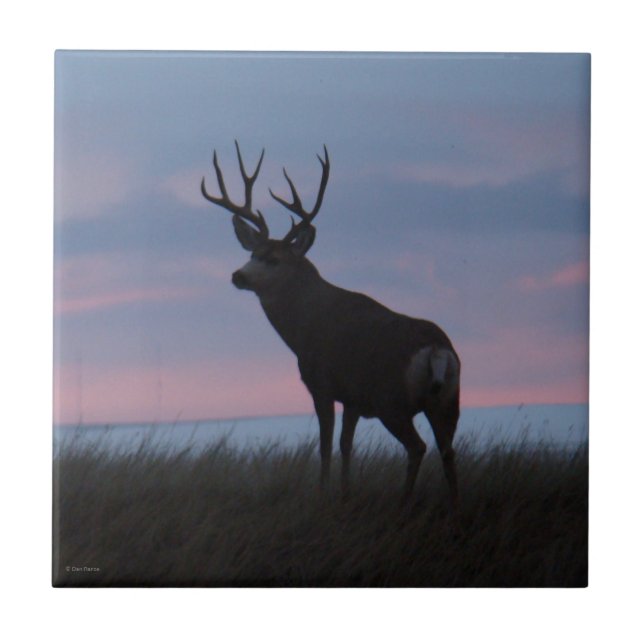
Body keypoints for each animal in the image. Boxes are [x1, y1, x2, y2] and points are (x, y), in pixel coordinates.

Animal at [201, 142, 461, 510]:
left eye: (274, 259)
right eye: (253, 254)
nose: (238, 275)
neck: (305, 327)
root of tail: (437, 350)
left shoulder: (321, 384)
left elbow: (325, 446)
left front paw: (323, 494)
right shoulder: (352, 398)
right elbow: (346, 446)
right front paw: (346, 492)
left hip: (392, 400)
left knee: (417, 447)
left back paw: (404, 501)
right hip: (448, 400)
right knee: (448, 450)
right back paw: (454, 504)